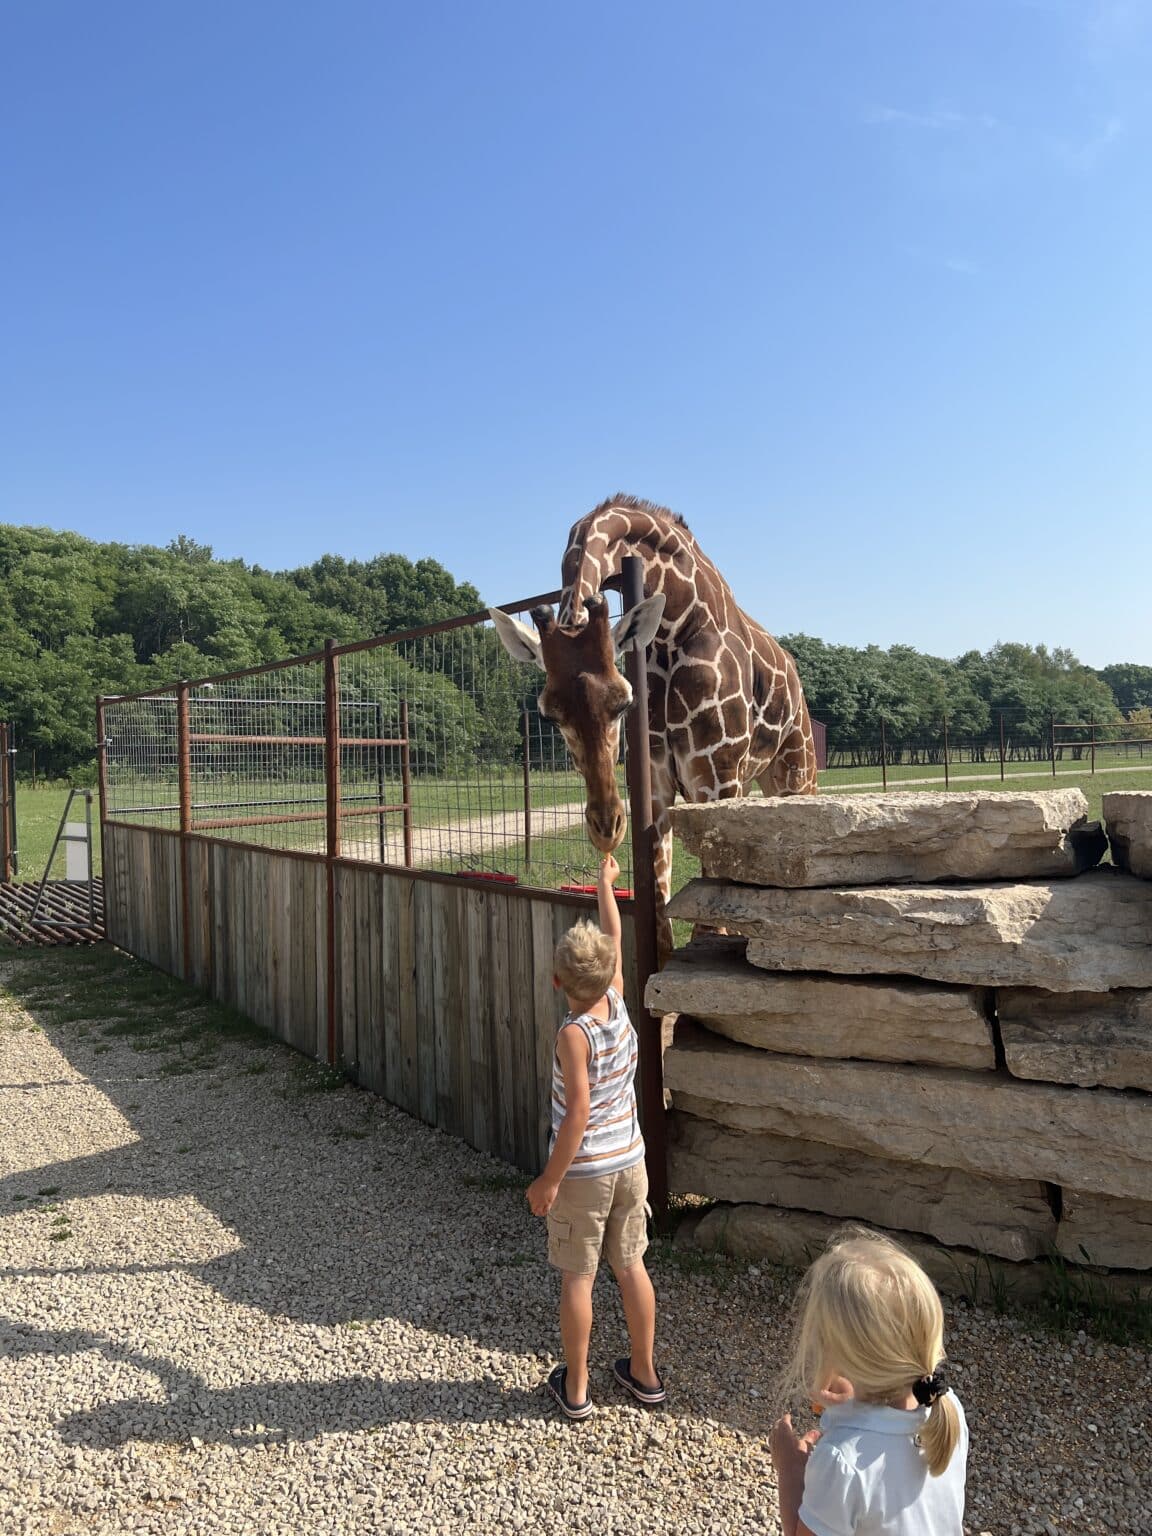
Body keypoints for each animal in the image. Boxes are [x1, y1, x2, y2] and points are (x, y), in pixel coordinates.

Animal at [488, 491, 823, 952]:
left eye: (623, 702)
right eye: (548, 713)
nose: (606, 828)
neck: (674, 625)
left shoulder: (715, 774)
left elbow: (710, 920)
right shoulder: (657, 779)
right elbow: (662, 921)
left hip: (795, 771)